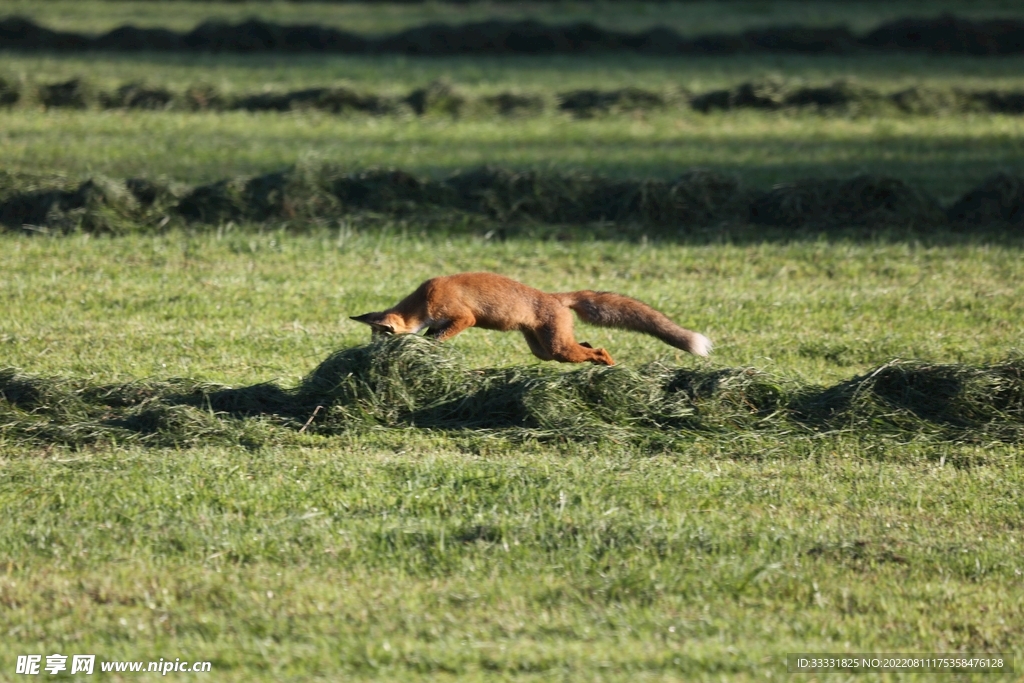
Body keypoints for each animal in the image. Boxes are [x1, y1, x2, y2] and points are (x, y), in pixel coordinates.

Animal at [348, 274, 708, 368]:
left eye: (379, 338)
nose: (370, 355)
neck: (423, 301)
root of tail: (555, 296)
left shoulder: (463, 316)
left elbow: (440, 335)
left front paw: (430, 349)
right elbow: (432, 336)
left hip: (557, 349)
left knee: (598, 349)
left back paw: (608, 365)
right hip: (546, 350)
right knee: (587, 346)